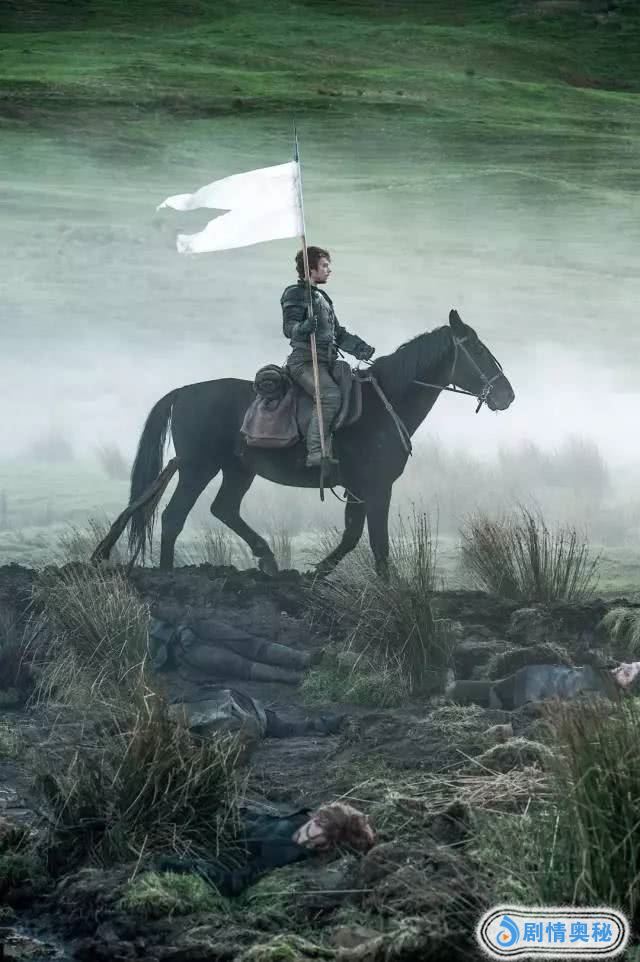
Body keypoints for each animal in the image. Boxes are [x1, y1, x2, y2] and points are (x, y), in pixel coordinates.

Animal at [126, 309, 515, 577]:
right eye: (477, 349)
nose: (507, 395)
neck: (383, 403)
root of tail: (182, 392)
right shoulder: (377, 487)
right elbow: (376, 542)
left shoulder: (359, 489)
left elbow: (353, 535)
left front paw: (319, 572)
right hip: (198, 469)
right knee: (174, 517)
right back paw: (167, 572)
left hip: (238, 470)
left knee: (224, 509)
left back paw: (267, 557)